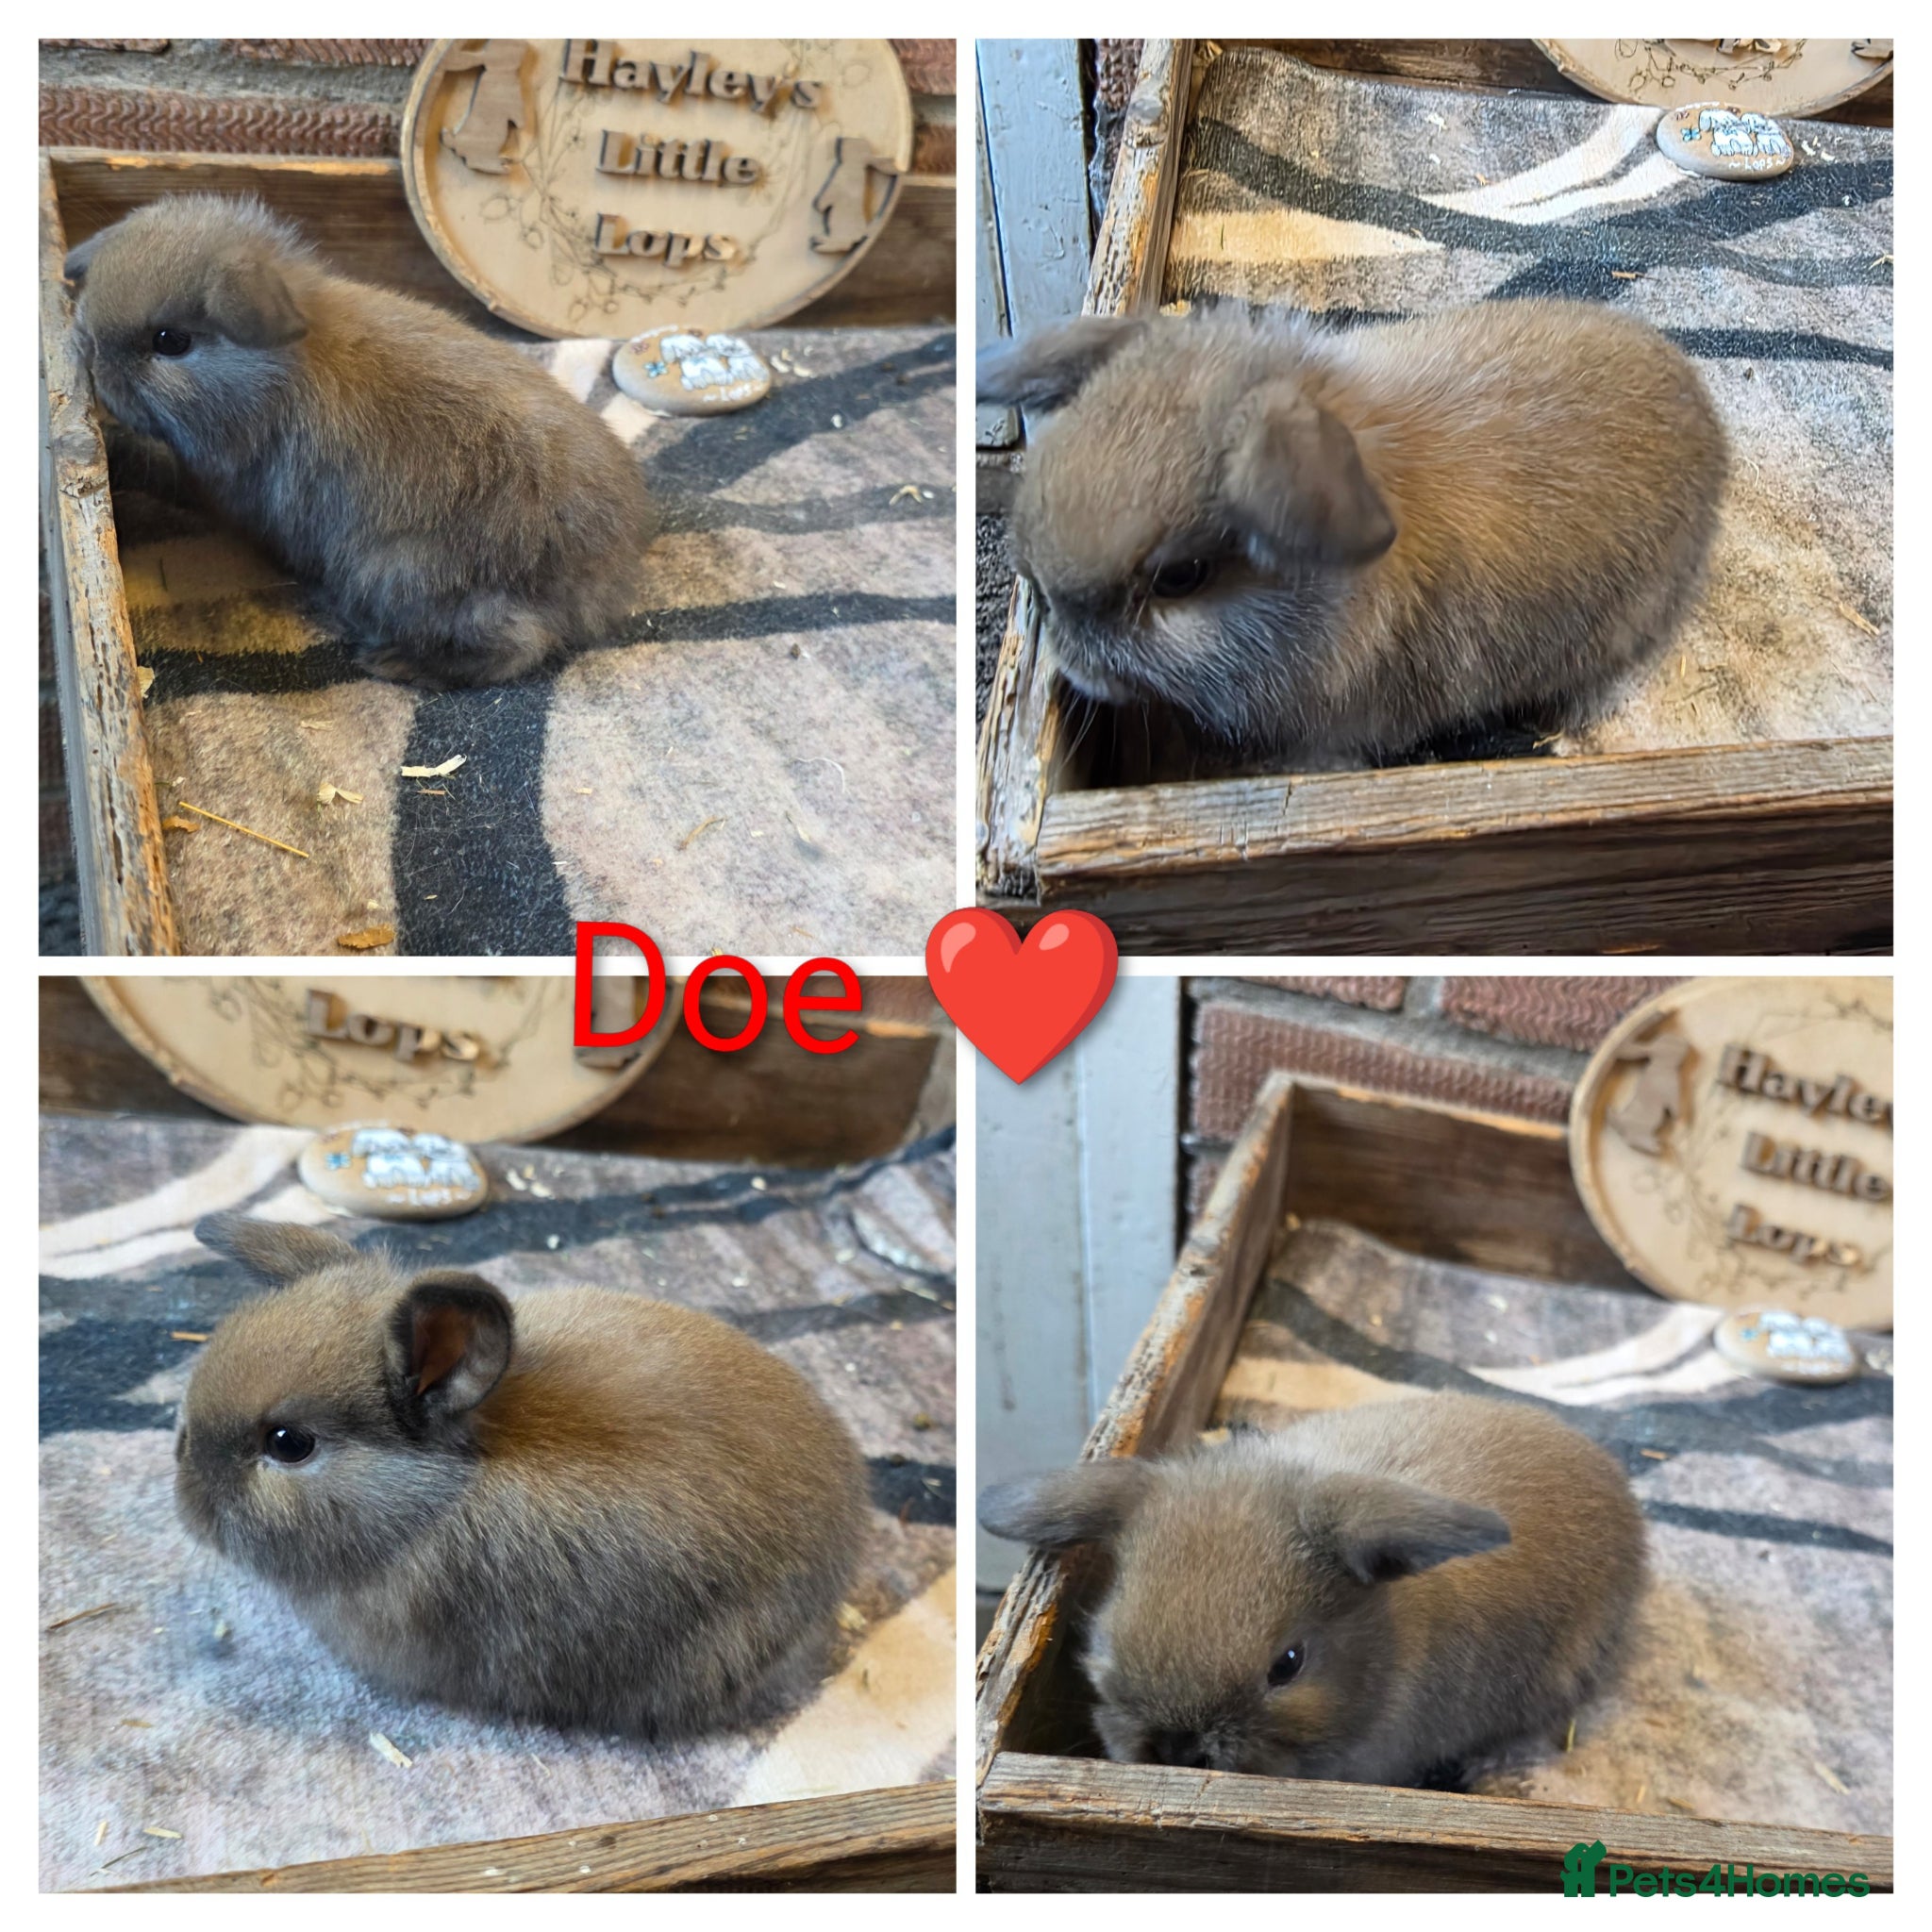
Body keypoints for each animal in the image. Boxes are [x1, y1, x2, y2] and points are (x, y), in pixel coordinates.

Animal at [62, 195, 654, 688]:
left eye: (170, 341)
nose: (90, 352)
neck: (281, 373)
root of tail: (603, 578)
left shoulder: (215, 475)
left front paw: (113, 445)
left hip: (396, 574)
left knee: (518, 645)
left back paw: (395, 662)